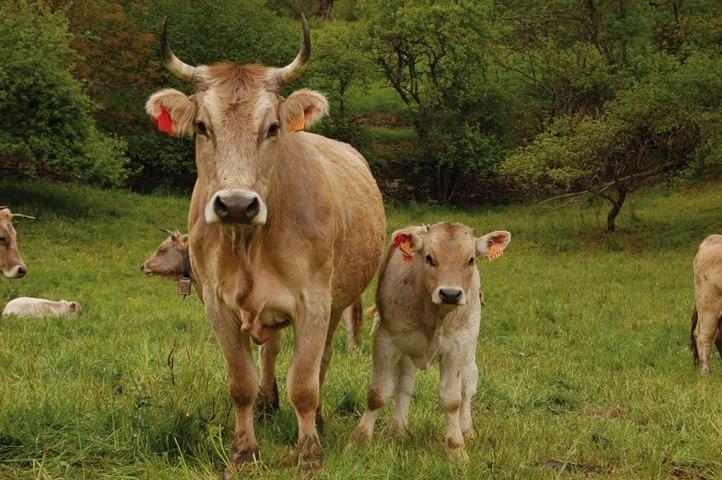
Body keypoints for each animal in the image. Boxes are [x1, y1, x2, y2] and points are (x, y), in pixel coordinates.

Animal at [348, 221, 506, 462]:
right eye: (429, 257)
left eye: (471, 259)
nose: (450, 294)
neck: (434, 316)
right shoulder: (387, 340)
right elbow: (378, 393)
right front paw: (358, 440)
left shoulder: (456, 348)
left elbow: (452, 399)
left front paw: (456, 449)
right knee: (405, 384)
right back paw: (398, 430)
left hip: (470, 342)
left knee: (468, 384)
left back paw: (467, 430)